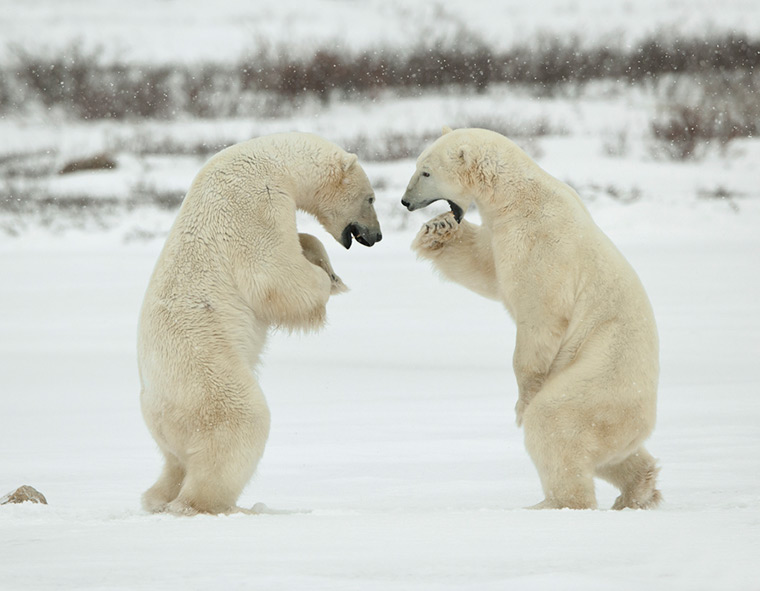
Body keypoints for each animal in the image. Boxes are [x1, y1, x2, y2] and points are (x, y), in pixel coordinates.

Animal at [137, 132, 380, 516]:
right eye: (370, 198)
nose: (377, 236)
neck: (275, 161)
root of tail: (154, 407)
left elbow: (302, 243)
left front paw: (326, 264)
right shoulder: (253, 203)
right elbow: (273, 272)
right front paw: (327, 282)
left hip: (169, 418)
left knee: (174, 462)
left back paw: (159, 497)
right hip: (205, 374)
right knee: (241, 424)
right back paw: (226, 506)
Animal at [400, 127, 664, 512]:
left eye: (426, 171)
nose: (405, 201)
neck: (517, 196)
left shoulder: (542, 242)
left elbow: (540, 315)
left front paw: (522, 401)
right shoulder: (503, 233)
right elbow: (486, 267)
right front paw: (438, 228)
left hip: (601, 378)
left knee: (557, 422)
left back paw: (552, 504)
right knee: (612, 454)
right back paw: (638, 489)